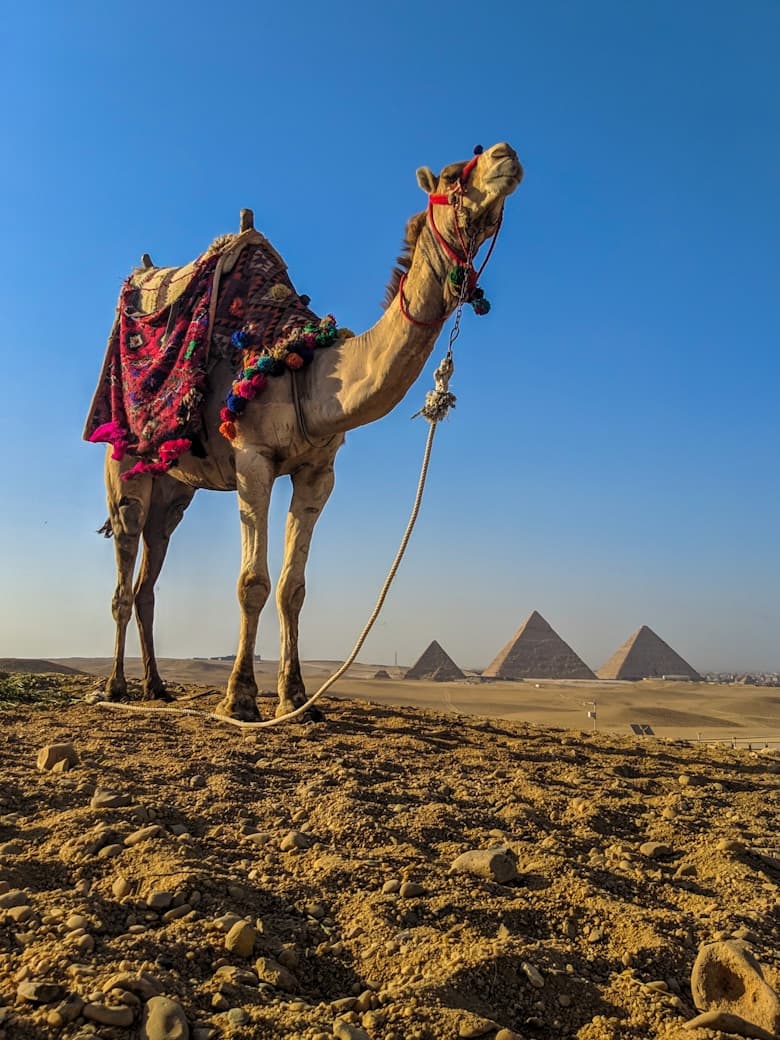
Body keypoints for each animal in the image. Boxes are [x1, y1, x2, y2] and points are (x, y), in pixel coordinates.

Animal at [96, 142, 523, 721]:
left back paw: (157, 687)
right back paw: (117, 687)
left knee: (149, 573)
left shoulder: (318, 471)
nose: (507, 155)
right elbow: (253, 582)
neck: (312, 371)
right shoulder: (253, 458)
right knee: (124, 563)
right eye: (456, 174)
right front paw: (240, 698)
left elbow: (293, 589)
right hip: (125, 466)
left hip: (175, 488)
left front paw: (296, 698)